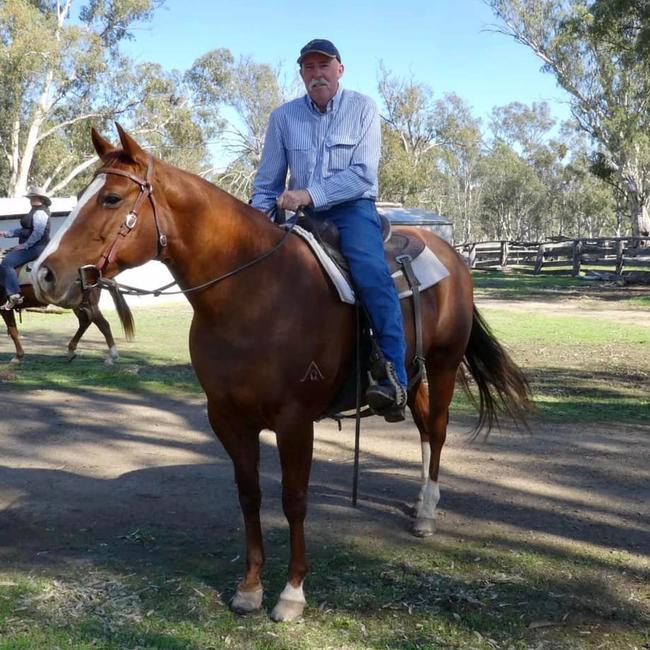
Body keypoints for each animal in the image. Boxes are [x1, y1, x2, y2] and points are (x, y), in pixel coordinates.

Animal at [30, 125, 528, 616]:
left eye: (111, 198)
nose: (44, 274)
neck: (253, 294)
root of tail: (452, 254)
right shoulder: (227, 417)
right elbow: (250, 495)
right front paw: (250, 588)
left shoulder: (294, 422)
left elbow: (294, 500)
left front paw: (291, 592)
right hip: (415, 369)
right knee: (424, 428)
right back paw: (420, 499)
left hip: (444, 365)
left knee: (437, 431)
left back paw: (426, 513)